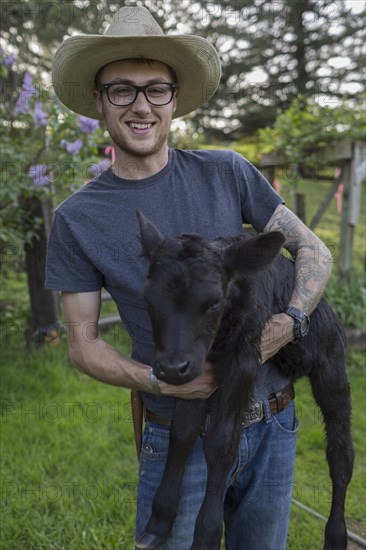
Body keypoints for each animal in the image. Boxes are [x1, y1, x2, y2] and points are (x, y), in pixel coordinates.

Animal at [136, 211, 354, 550]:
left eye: (214, 302)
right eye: (149, 299)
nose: (172, 367)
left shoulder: (245, 359)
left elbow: (221, 443)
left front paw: (207, 534)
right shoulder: (196, 371)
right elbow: (182, 433)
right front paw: (160, 519)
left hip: (332, 368)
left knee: (341, 455)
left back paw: (336, 535)